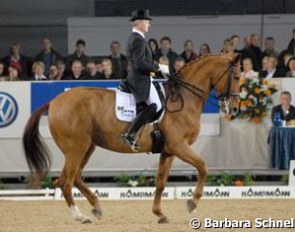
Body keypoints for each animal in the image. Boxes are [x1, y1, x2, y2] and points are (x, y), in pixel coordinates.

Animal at [22, 52, 240, 223]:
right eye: (237, 76)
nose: (235, 109)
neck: (184, 98)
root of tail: (54, 101)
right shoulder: (179, 146)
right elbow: (203, 167)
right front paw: (192, 203)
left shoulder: (168, 150)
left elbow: (161, 182)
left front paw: (159, 214)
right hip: (76, 148)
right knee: (65, 182)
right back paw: (80, 216)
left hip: (86, 147)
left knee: (74, 178)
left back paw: (96, 207)